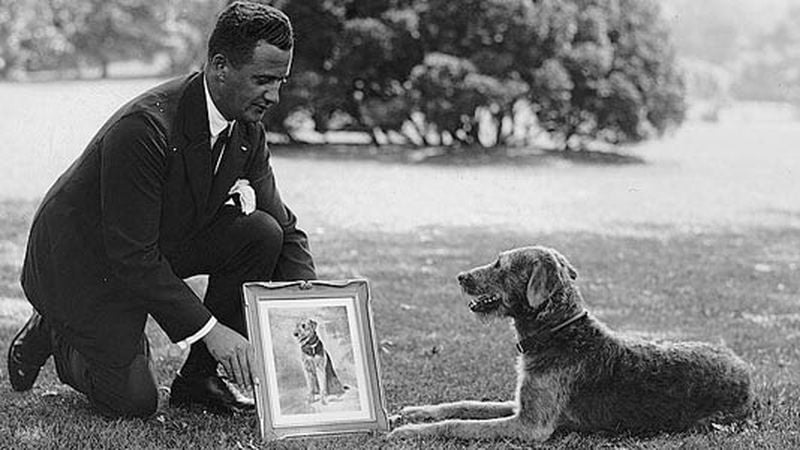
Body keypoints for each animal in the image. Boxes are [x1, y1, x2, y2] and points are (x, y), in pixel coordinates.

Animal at [390, 246, 752, 440]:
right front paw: (414, 413)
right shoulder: (521, 404)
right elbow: (466, 405)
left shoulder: (530, 425)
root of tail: (744, 368)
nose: (461, 277)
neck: (556, 333)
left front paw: (409, 432)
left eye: (500, 264)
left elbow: (460, 424)